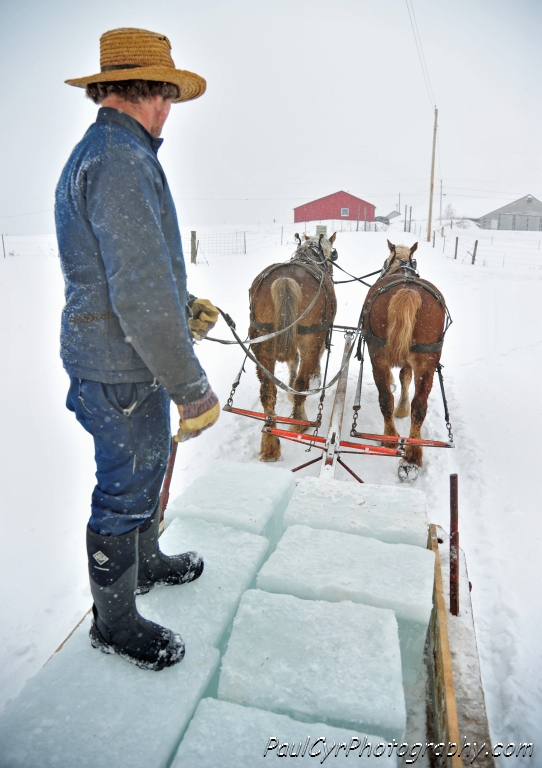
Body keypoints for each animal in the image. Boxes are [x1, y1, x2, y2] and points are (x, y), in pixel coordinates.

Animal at [252, 234, 340, 462]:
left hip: (261, 341)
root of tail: (285, 280)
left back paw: (270, 444)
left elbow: (292, 363)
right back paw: (300, 422)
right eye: (331, 253)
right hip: (312, 337)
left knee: (268, 391)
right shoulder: (319, 336)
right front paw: (314, 377)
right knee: (301, 381)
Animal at [364, 242, 448, 480]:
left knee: (396, 400)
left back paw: (403, 450)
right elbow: (404, 377)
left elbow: (403, 377)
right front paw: (402, 409)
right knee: (411, 403)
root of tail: (408, 290)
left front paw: (401, 410)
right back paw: (406, 451)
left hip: (381, 356)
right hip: (422, 362)